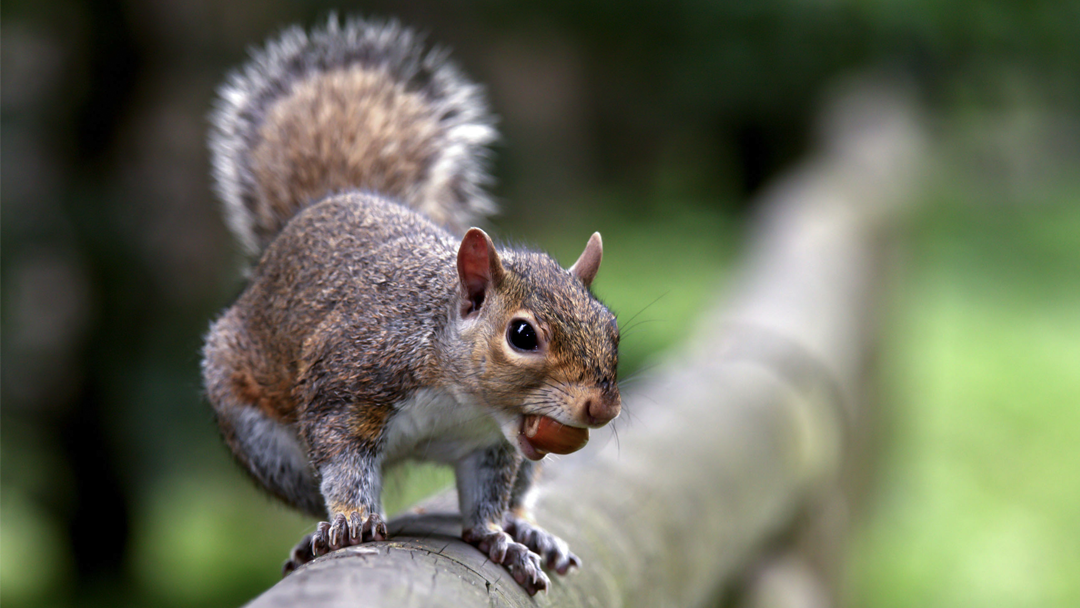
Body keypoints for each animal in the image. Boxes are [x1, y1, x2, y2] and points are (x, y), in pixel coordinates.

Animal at [201, 15, 622, 596]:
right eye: (522, 335)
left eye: (613, 328)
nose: (601, 408)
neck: (461, 398)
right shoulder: (347, 383)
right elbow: (343, 461)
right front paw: (352, 518)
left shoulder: (491, 446)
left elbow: (486, 499)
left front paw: (498, 539)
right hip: (263, 440)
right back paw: (319, 535)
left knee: (515, 494)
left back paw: (526, 529)